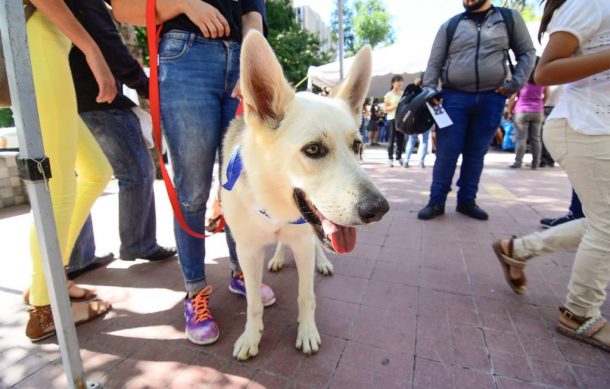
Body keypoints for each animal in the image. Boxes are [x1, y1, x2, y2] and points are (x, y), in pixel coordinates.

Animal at [221, 31, 388, 360]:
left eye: (358, 146)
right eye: (313, 149)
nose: (379, 209)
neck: (274, 209)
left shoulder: (302, 242)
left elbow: (306, 296)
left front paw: (307, 332)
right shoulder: (247, 251)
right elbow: (253, 303)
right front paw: (251, 337)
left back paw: (322, 262)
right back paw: (277, 258)